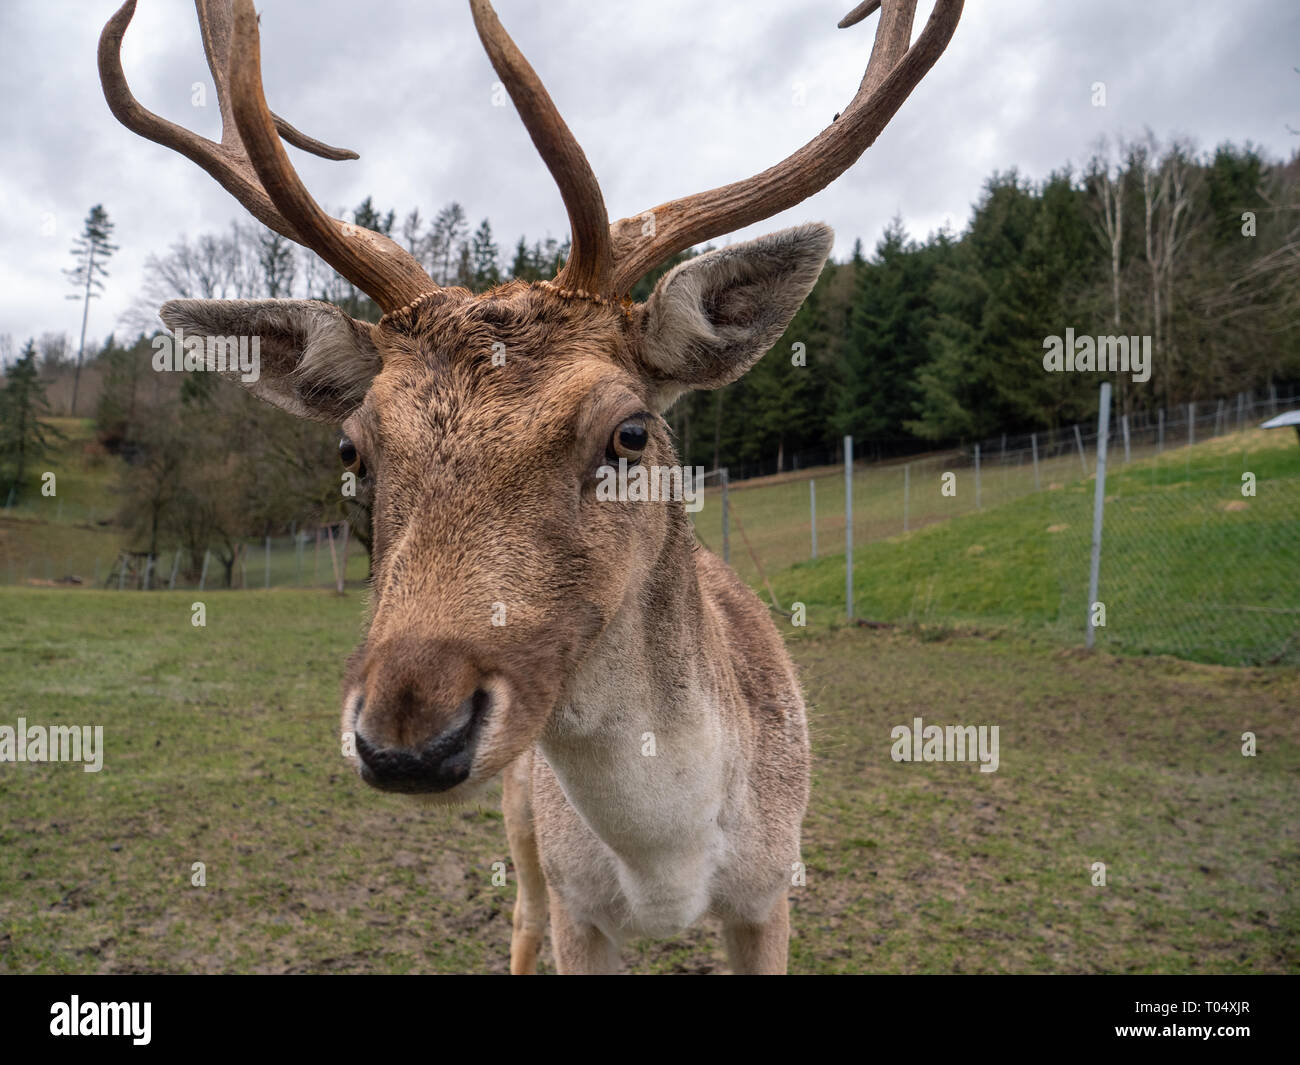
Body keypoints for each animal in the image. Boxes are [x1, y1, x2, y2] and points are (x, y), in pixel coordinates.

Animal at [98, 0, 956, 972]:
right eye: (352, 449)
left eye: (629, 431)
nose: (408, 737)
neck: (670, 862)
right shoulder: (581, 905)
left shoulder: (772, 891)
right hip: (522, 829)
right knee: (520, 917)